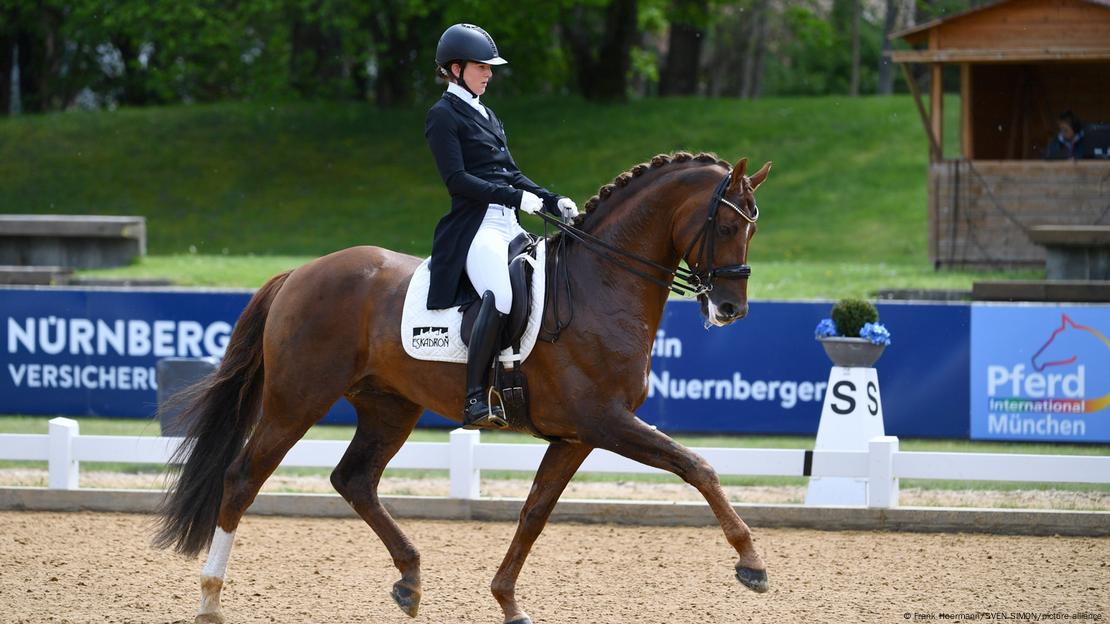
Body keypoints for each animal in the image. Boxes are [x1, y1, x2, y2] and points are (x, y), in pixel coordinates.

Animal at [156, 151, 772, 621]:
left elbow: (534, 514)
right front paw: (751, 563)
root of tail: (301, 272)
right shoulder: (606, 421)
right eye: (724, 226)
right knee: (243, 477)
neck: (600, 284)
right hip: (296, 400)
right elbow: (697, 466)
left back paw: (409, 580)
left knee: (353, 479)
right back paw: (211, 598)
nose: (731, 309)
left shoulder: (577, 436)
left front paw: (508, 603)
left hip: (389, 407)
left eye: (753, 228)